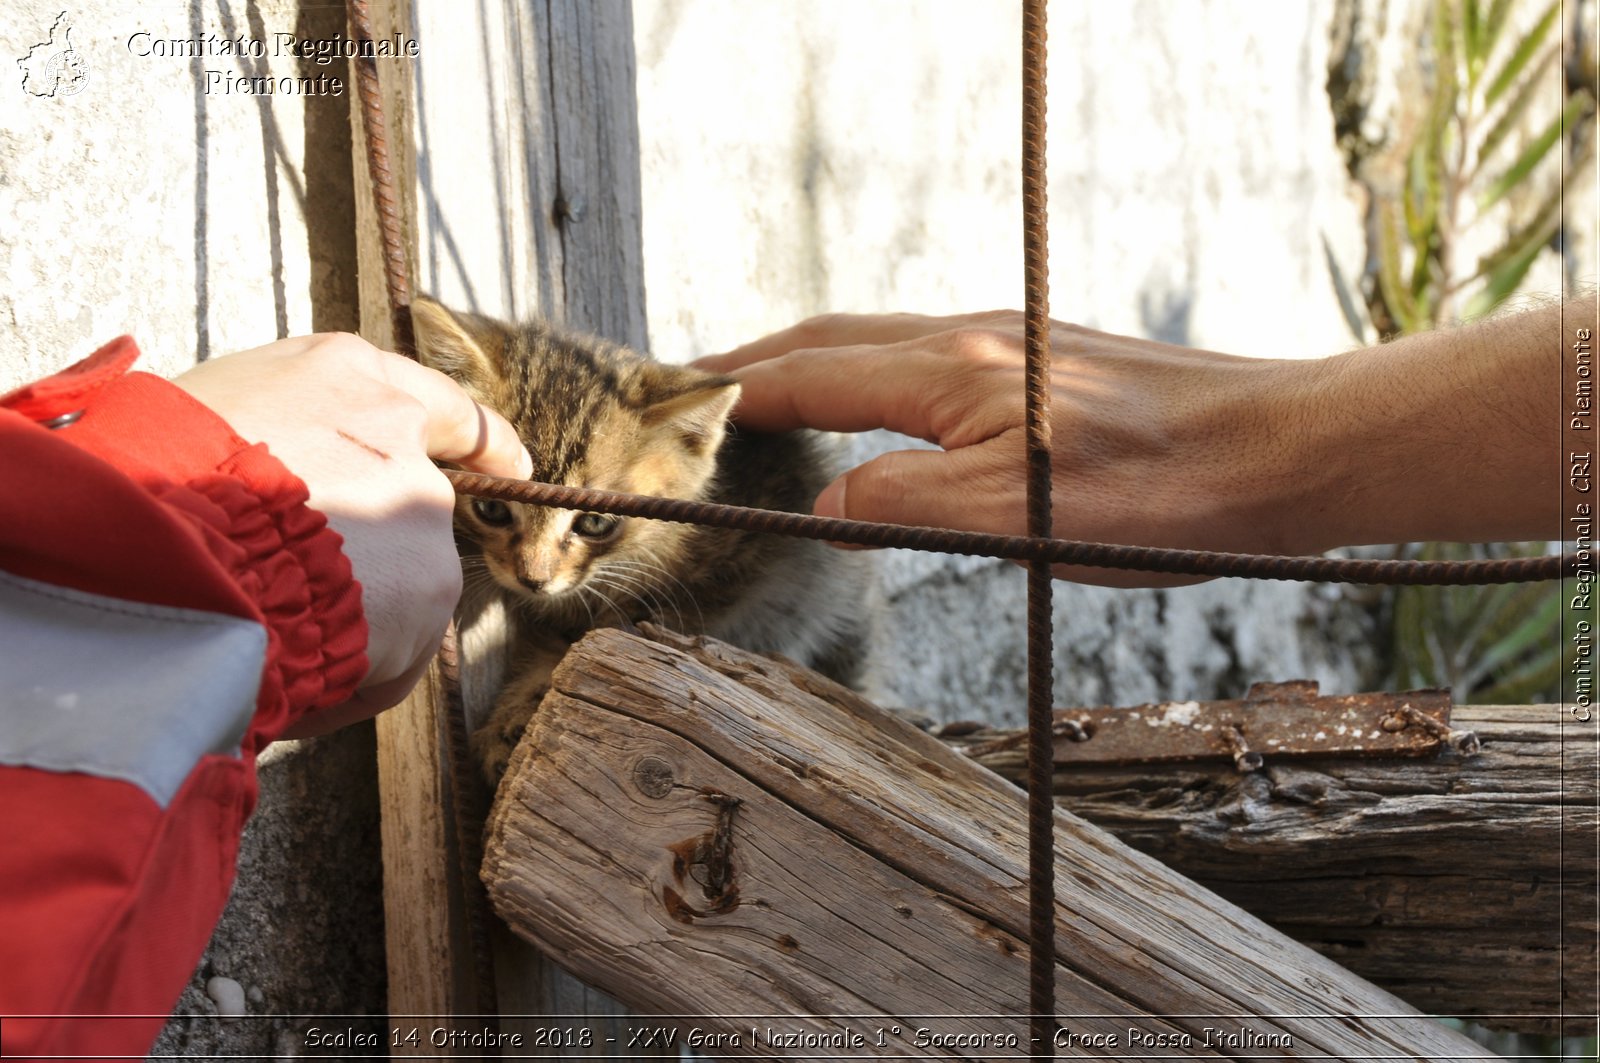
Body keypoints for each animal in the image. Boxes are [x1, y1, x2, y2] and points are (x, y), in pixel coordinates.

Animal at [406, 296, 870, 781]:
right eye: (492, 509)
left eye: (595, 523)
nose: (533, 579)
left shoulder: (734, 578)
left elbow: (609, 635)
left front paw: (518, 712)